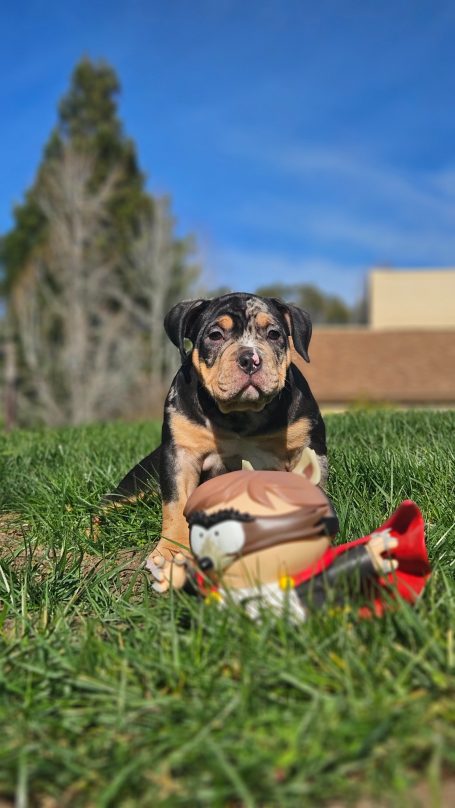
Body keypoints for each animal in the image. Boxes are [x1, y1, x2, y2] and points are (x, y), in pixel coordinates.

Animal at [107, 294, 328, 592]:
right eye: (215, 335)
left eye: (274, 334)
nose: (250, 358)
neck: (240, 414)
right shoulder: (180, 456)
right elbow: (175, 505)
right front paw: (171, 554)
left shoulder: (308, 444)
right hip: (138, 485)